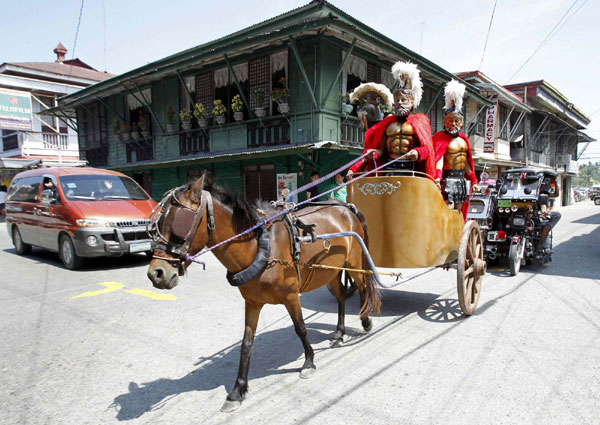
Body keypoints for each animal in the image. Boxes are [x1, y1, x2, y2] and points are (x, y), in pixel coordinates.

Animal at [146, 173, 380, 410]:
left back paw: (365, 321)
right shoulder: (252, 302)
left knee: (363, 287)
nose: (156, 274)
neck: (261, 246)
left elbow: (301, 329)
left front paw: (308, 363)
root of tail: (346, 208)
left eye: (179, 222)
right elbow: (246, 343)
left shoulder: (291, 296)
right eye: (159, 224)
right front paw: (238, 390)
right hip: (329, 272)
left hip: (353, 263)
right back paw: (340, 333)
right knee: (341, 295)